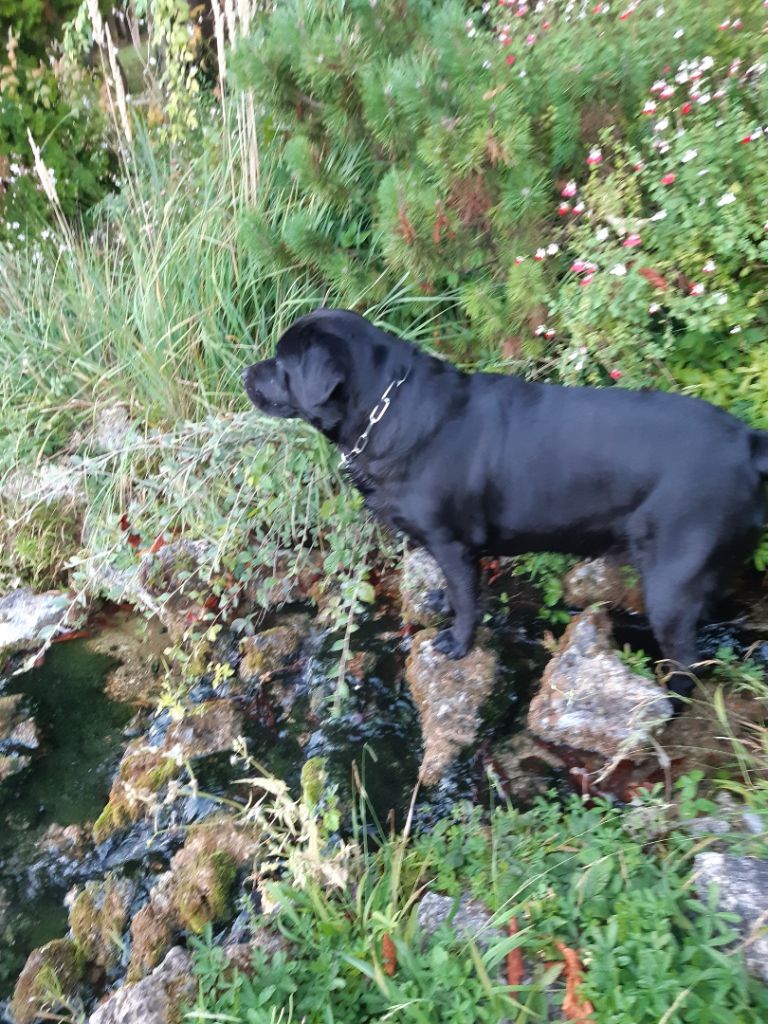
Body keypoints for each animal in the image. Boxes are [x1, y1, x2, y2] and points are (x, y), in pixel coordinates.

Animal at [244, 307, 768, 700]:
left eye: (281, 364)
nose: (247, 371)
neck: (387, 410)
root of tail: (748, 441)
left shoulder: (451, 542)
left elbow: (466, 600)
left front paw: (457, 643)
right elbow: (457, 590)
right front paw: (440, 601)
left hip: (671, 580)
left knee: (686, 662)